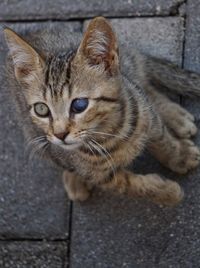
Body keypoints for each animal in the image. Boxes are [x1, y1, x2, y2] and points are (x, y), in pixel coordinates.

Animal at [2, 16, 200, 205]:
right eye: (41, 109)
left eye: (79, 105)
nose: (60, 135)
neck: (110, 133)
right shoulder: (102, 177)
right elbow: (130, 186)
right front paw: (167, 193)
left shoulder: (149, 119)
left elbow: (163, 141)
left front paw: (180, 156)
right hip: (34, 137)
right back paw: (73, 179)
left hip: (129, 71)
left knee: (144, 86)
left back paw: (176, 117)